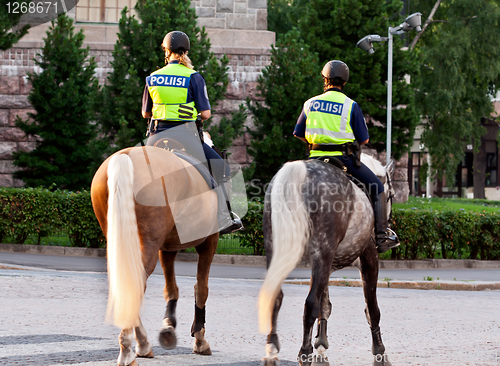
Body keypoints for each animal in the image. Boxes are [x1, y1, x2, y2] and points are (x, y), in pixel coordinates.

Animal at [91, 146, 220, 366]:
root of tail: (125, 155)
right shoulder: (209, 242)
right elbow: (201, 289)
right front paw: (200, 339)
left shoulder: (167, 247)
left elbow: (171, 288)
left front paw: (169, 326)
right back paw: (129, 349)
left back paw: (139, 344)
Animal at [258, 154, 394, 366]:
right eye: (391, 196)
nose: (388, 229)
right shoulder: (369, 257)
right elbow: (372, 308)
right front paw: (379, 351)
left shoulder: (326, 265)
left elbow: (325, 305)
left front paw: (321, 345)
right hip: (323, 252)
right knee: (310, 304)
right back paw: (304, 353)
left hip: (277, 251)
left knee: (276, 295)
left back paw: (272, 347)